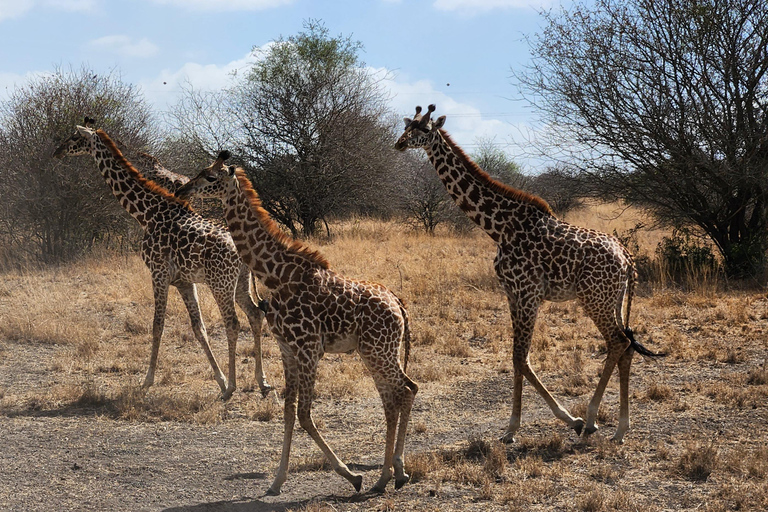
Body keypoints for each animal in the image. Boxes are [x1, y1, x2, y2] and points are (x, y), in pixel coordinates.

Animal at [52, 120, 272, 400]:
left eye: (73, 137)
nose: (56, 152)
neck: (146, 213)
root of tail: (243, 248)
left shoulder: (158, 273)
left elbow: (157, 325)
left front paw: (146, 381)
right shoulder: (184, 281)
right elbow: (198, 328)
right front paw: (220, 380)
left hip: (220, 283)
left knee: (232, 323)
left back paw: (233, 388)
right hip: (241, 281)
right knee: (255, 314)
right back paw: (261, 382)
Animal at [177, 154, 416, 494]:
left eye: (210, 177)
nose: (182, 190)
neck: (276, 274)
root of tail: (398, 303)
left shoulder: (309, 349)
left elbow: (304, 414)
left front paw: (351, 475)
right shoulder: (287, 349)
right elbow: (289, 411)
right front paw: (277, 480)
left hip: (378, 350)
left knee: (404, 391)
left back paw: (386, 475)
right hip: (376, 350)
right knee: (394, 396)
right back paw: (392, 474)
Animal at [392, 104, 664, 444]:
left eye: (426, 129)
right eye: (408, 126)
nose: (400, 143)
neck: (499, 227)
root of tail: (628, 259)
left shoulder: (528, 292)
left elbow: (520, 357)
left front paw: (537, 424)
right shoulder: (512, 293)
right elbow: (519, 358)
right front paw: (523, 426)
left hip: (594, 299)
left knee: (617, 341)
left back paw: (592, 420)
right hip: (613, 299)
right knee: (626, 344)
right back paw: (620, 428)